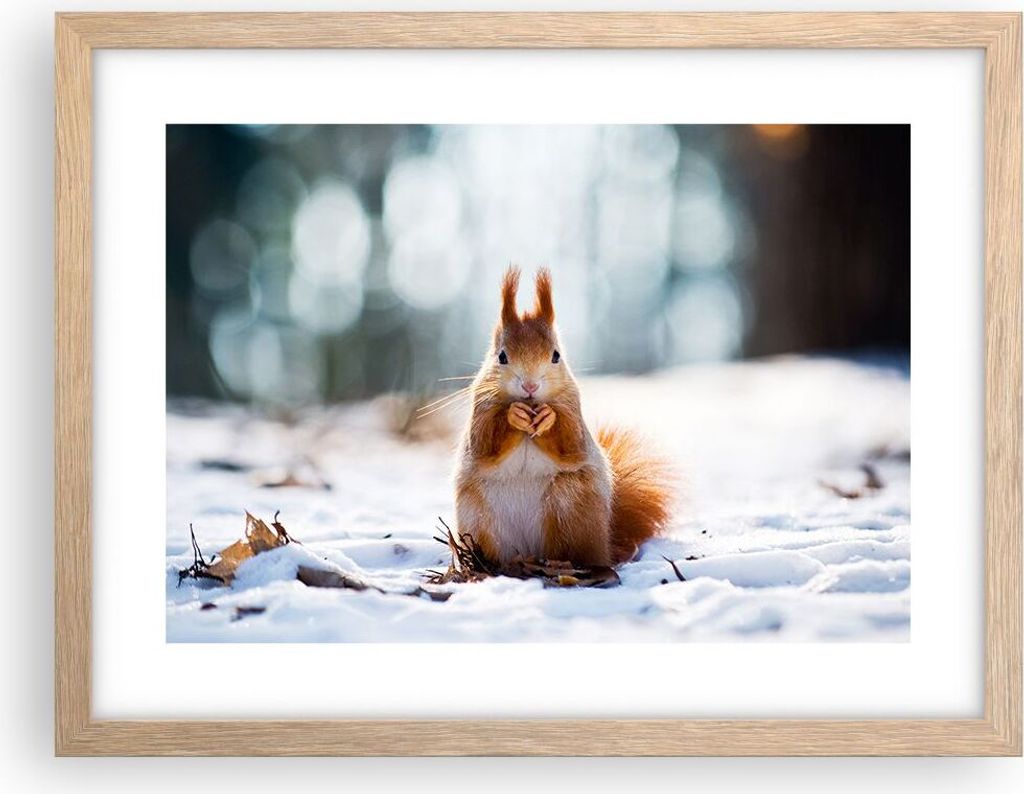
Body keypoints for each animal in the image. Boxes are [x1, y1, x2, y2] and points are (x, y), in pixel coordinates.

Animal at [454, 266, 674, 567]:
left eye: (556, 355)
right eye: (502, 357)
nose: (530, 386)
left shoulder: (573, 411)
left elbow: (570, 442)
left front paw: (548, 418)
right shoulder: (480, 411)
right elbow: (485, 443)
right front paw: (514, 415)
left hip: (570, 507)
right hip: (479, 518)